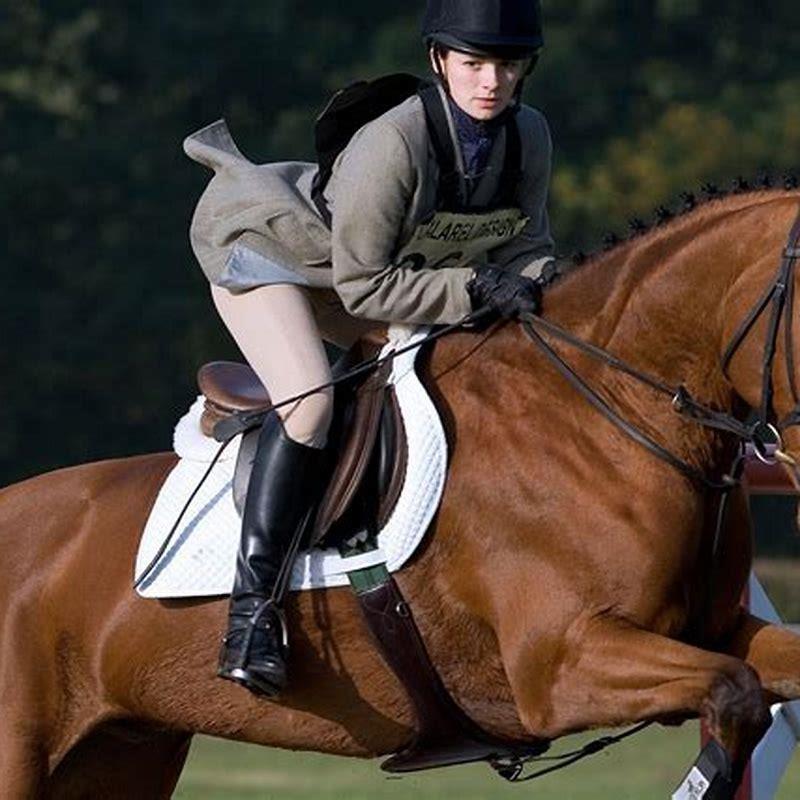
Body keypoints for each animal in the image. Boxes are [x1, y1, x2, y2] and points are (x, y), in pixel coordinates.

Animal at [3, 183, 800, 799]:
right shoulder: (562, 666)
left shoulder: (715, 632)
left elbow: (756, 678)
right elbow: (735, 695)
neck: (607, 407)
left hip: (121, 751)